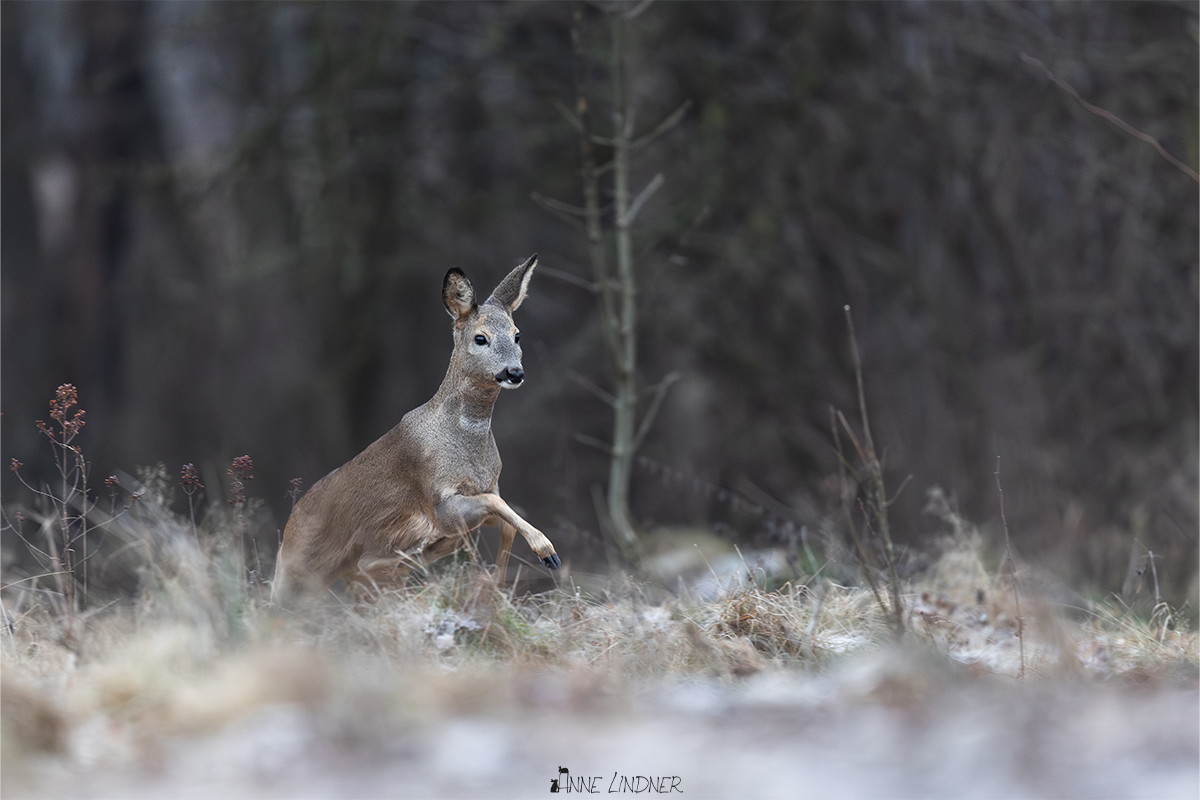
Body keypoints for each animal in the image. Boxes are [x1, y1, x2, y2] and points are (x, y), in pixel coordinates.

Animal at [271, 254, 560, 604]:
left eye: (517, 335)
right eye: (481, 337)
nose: (514, 372)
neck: (467, 446)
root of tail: (289, 525)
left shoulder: (490, 488)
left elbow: (505, 519)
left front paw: (496, 587)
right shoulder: (438, 503)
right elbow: (499, 509)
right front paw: (547, 552)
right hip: (296, 571)